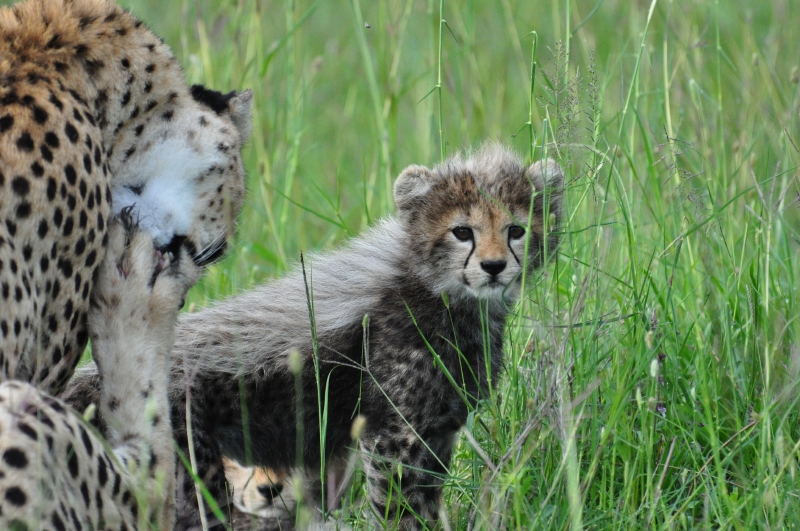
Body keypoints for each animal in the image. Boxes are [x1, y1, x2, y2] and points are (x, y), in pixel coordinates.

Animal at [63, 144, 564, 530]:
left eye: (517, 230)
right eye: (462, 231)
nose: (495, 267)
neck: (445, 298)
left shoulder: (437, 432)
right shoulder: (392, 435)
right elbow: (398, 508)